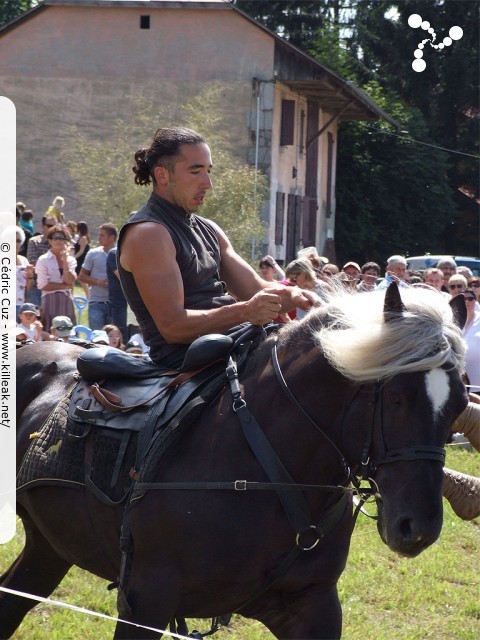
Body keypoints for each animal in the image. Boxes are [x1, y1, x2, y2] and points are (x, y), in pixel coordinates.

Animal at [2, 286, 468, 640]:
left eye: (460, 406)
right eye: (397, 397)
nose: (418, 527)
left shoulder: (312, 607)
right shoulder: (144, 602)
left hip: (49, 546)